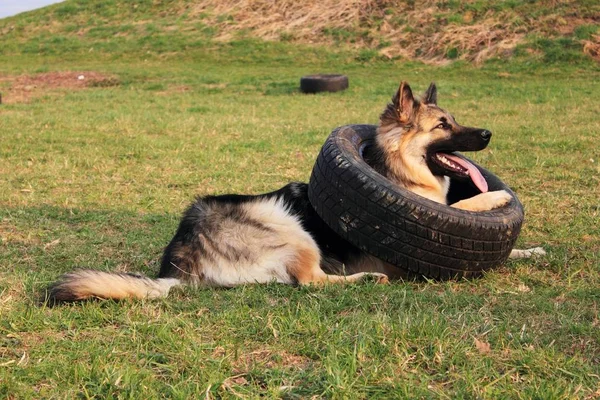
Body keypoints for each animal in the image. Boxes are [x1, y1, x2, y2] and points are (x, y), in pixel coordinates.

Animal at [47, 82, 540, 304]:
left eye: (454, 120)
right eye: (442, 126)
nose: (488, 134)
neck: (399, 175)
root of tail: (179, 258)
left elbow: (499, 249)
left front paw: (530, 250)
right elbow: (468, 204)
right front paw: (495, 200)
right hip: (289, 225)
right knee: (311, 282)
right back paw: (364, 280)